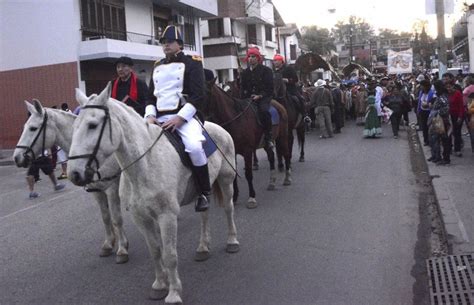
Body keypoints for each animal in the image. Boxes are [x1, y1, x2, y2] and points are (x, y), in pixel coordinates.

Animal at [12, 101, 130, 262]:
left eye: (33, 128)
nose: (17, 157)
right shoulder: (97, 190)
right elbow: (105, 217)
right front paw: (108, 244)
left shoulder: (111, 188)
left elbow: (117, 218)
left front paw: (122, 249)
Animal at [68, 82, 239, 302]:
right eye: (74, 127)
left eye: (92, 125)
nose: (74, 174)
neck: (144, 164)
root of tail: (217, 127)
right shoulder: (141, 218)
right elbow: (155, 251)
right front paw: (159, 285)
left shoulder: (167, 216)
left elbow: (170, 255)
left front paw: (174, 293)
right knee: (204, 214)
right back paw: (203, 247)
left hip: (226, 180)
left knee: (228, 208)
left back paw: (232, 241)